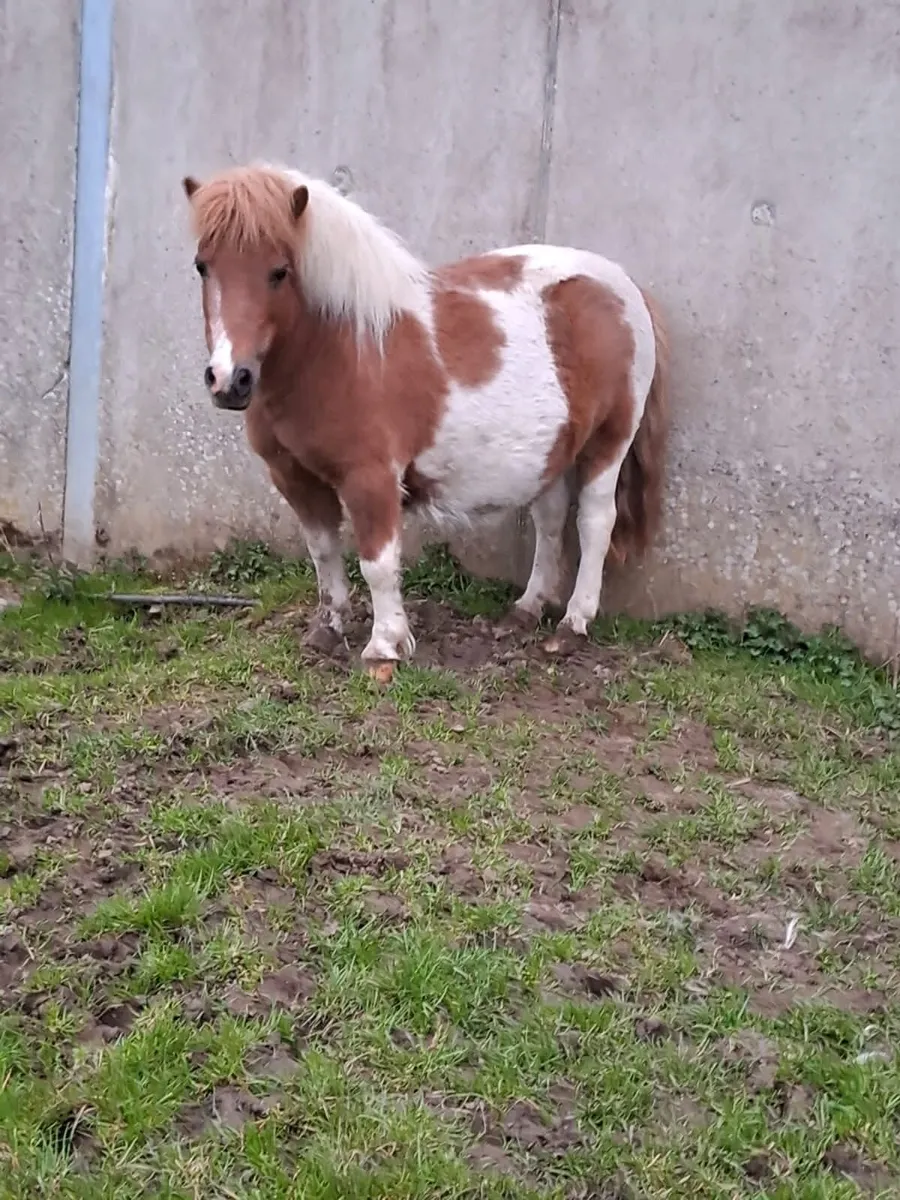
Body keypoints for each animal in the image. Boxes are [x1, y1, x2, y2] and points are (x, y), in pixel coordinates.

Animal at [180, 162, 669, 667]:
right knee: (551, 520)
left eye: (279, 272)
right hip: (553, 449)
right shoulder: (294, 478)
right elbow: (323, 553)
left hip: (610, 440)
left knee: (595, 522)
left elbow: (377, 564)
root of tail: (623, 288)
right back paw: (526, 609)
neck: (342, 349)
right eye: (202, 266)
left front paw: (384, 647)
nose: (230, 379)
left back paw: (574, 623)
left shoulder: (371, 479)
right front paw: (327, 629)